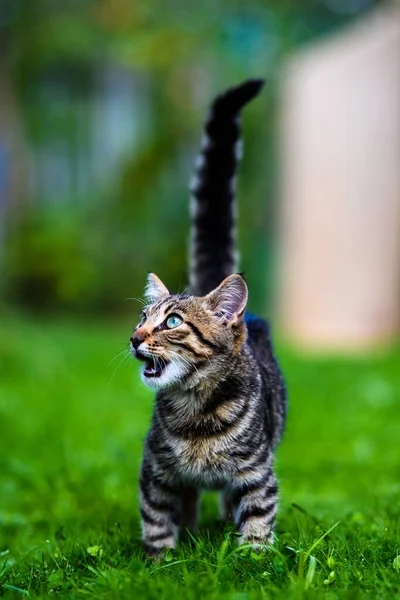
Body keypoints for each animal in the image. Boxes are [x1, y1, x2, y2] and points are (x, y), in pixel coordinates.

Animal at [131, 78, 288, 552]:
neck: (195, 413)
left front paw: (253, 559)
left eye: (172, 322)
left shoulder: (258, 474)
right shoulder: (154, 473)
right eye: (142, 317)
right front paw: (160, 562)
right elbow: (157, 522)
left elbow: (257, 523)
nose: (135, 337)